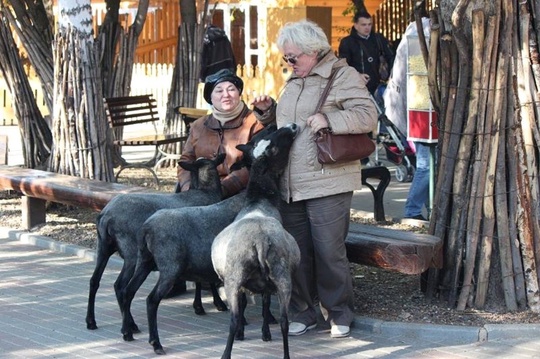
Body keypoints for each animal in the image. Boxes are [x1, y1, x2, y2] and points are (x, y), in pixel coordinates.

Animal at [86, 155, 226, 332]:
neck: (205, 192)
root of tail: (106, 215)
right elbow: (206, 279)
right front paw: (215, 304)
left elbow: (199, 279)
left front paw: (198, 306)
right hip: (131, 253)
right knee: (120, 286)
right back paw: (130, 325)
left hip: (103, 246)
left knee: (94, 281)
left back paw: (92, 322)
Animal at [211, 124, 300, 359]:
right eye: (274, 141)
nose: (292, 126)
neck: (258, 201)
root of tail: (260, 242)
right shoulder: (266, 283)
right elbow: (265, 304)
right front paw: (265, 333)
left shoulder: (244, 284)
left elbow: (250, 307)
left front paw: (251, 333)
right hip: (282, 276)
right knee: (284, 322)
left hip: (235, 278)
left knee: (233, 320)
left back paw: (226, 353)